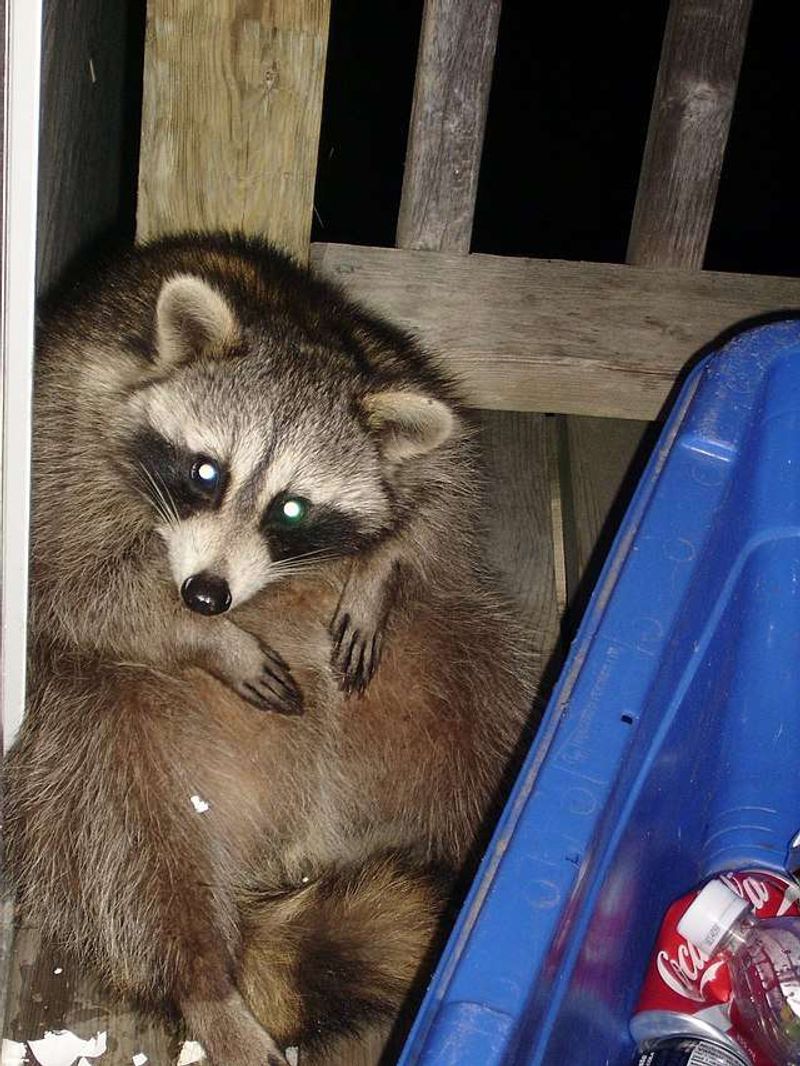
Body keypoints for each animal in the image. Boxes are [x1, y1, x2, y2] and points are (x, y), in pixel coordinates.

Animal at [4, 233, 538, 1065]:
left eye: (290, 509)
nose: (204, 598)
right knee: (123, 826)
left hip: (429, 654)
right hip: (96, 723)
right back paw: (205, 984)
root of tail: (301, 835)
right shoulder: (63, 438)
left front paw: (382, 564)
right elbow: (68, 582)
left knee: (484, 698)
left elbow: (443, 505)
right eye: (205, 472)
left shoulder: (402, 380)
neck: (290, 330)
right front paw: (209, 640)